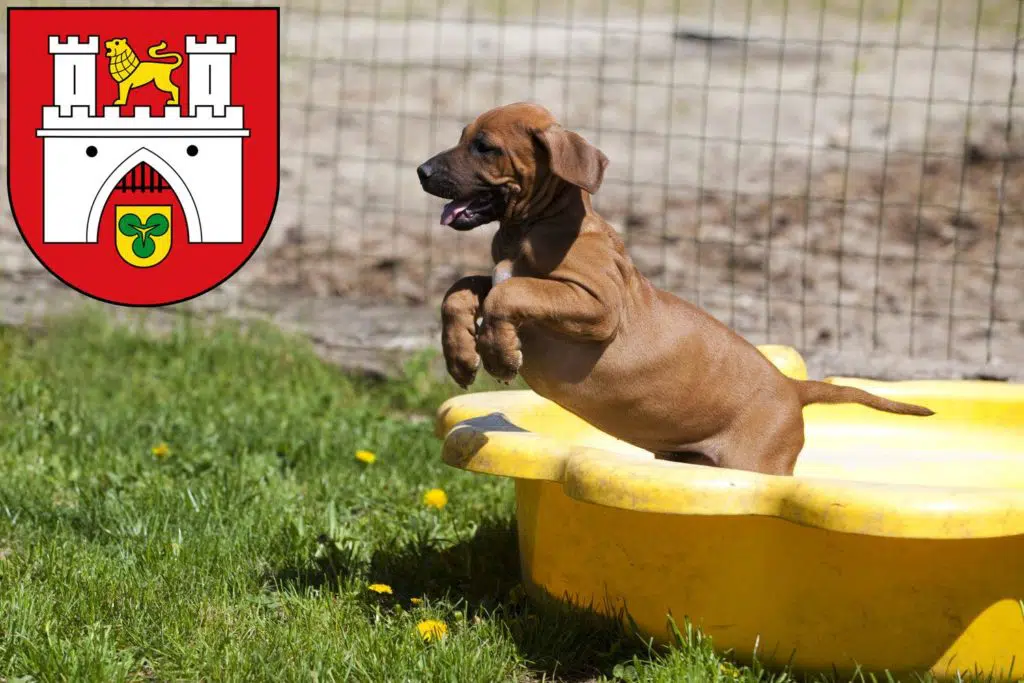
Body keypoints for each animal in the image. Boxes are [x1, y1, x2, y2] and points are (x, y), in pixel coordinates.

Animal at [411, 102, 933, 475]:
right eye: (463, 138)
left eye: (484, 146)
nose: (421, 172)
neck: (535, 226)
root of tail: (791, 387)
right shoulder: (513, 282)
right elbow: (462, 288)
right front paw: (462, 355)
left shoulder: (598, 306)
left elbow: (509, 292)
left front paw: (499, 355)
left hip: (755, 464)